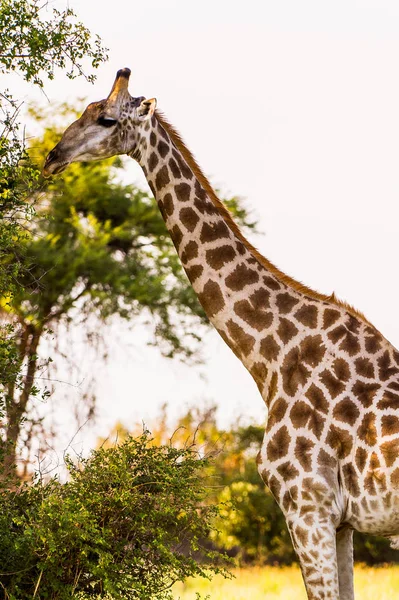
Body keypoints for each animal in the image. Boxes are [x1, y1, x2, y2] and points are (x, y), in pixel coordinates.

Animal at [43, 68, 399, 596]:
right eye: (85, 110)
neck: (273, 357)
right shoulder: (340, 522)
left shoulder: (307, 507)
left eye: (106, 118)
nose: (53, 156)